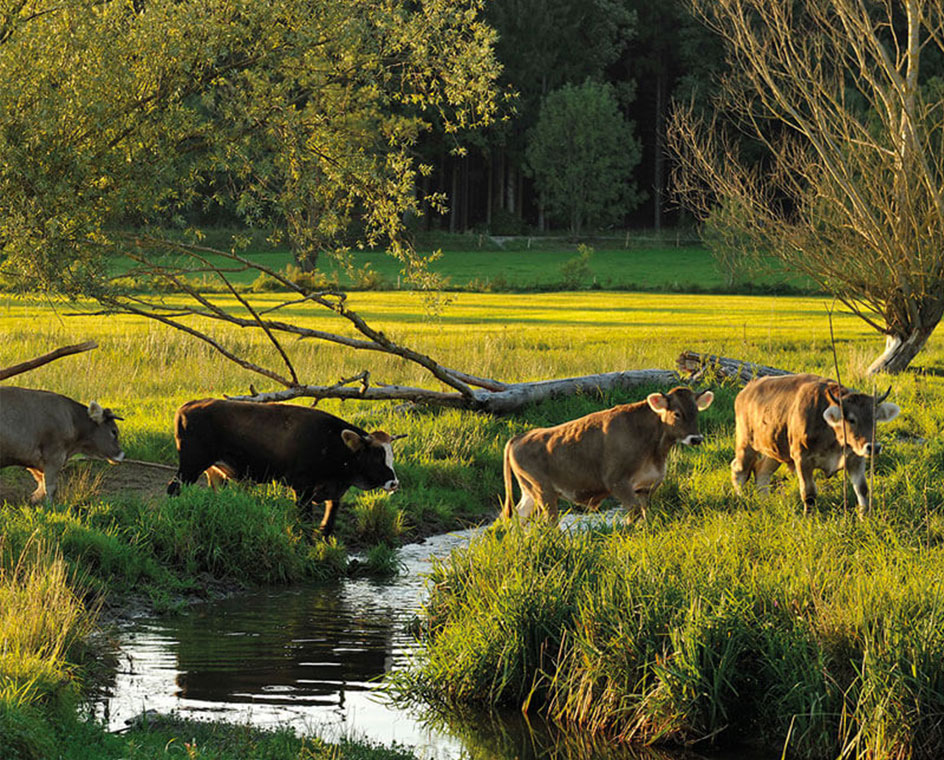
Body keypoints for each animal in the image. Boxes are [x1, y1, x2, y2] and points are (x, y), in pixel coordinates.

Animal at [167, 400, 402, 536]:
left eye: (390, 455)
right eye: (376, 456)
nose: (394, 482)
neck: (333, 442)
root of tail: (187, 406)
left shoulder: (334, 493)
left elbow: (328, 522)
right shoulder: (303, 489)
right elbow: (304, 520)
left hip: (214, 472)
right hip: (190, 466)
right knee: (173, 488)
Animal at [506, 386, 712, 524]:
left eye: (696, 412)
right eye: (677, 413)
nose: (696, 438)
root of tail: (520, 437)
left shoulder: (645, 487)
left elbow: (645, 513)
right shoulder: (617, 482)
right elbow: (634, 513)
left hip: (529, 492)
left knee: (516, 517)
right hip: (543, 491)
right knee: (550, 523)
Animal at [732, 374, 900, 516]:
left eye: (875, 419)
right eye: (851, 419)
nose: (873, 447)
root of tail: (747, 390)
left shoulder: (856, 458)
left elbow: (862, 489)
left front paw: (864, 517)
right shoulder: (802, 458)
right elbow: (809, 492)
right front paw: (809, 517)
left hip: (775, 449)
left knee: (761, 471)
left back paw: (765, 500)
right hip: (745, 443)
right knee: (739, 469)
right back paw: (742, 498)